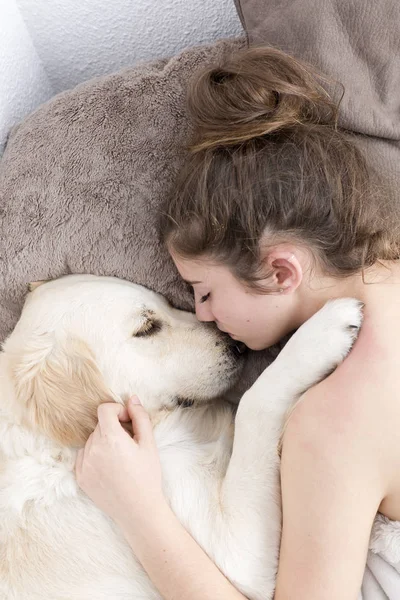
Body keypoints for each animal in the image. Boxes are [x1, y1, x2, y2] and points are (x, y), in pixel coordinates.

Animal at [0, 274, 362, 596]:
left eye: (167, 303)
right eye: (147, 328)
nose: (238, 345)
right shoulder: (235, 554)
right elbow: (254, 401)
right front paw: (321, 333)